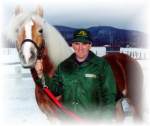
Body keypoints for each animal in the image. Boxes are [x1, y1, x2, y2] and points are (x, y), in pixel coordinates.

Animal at [6, 6, 143, 122]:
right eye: (17, 30)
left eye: (41, 30)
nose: (28, 57)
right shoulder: (51, 116)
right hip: (117, 102)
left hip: (135, 101)